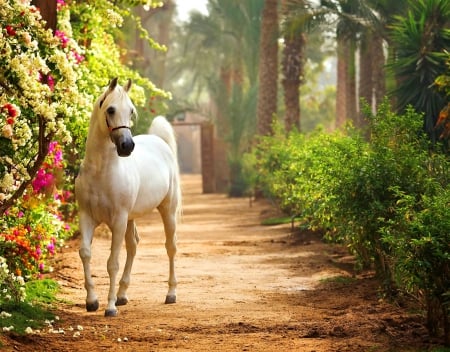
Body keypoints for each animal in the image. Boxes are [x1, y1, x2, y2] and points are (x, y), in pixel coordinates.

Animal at [74, 78, 180, 318]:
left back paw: (170, 294)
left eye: (131, 111)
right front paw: (92, 301)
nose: (127, 146)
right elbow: (85, 253)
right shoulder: (86, 217)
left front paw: (110, 307)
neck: (101, 172)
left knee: (170, 247)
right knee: (133, 246)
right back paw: (122, 295)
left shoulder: (118, 220)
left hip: (167, 211)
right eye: (111, 109)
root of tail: (159, 142)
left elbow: (112, 262)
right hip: (131, 218)